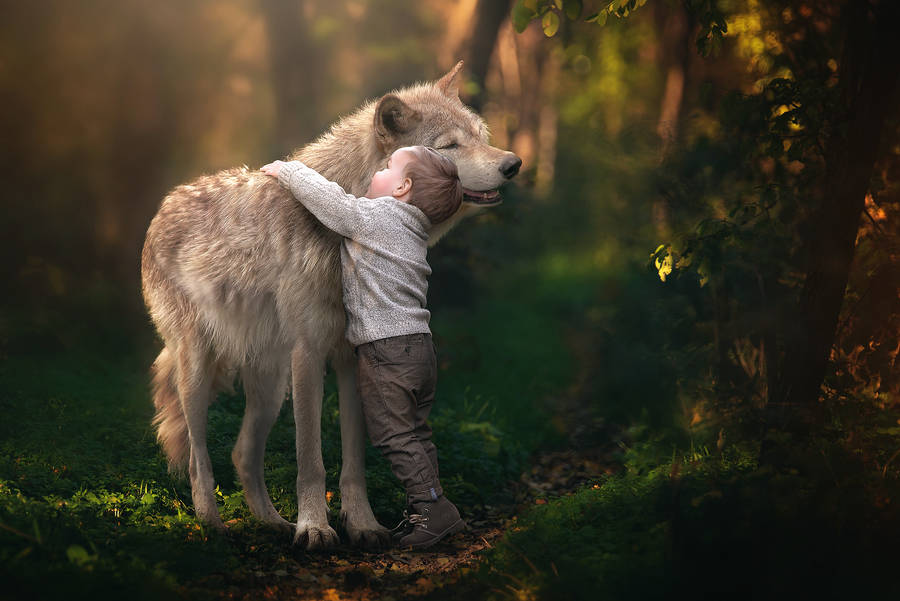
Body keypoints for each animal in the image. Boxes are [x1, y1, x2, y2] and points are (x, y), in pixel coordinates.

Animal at [141, 62, 521, 550]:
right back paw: (212, 525)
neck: (343, 234)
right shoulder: (309, 353)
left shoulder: (351, 358)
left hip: (270, 386)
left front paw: (362, 524)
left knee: (242, 453)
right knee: (198, 455)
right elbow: (311, 459)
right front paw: (315, 528)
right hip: (199, 372)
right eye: (451, 146)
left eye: (478, 135)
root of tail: (163, 207)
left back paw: (272, 524)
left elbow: (353, 461)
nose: (513, 164)